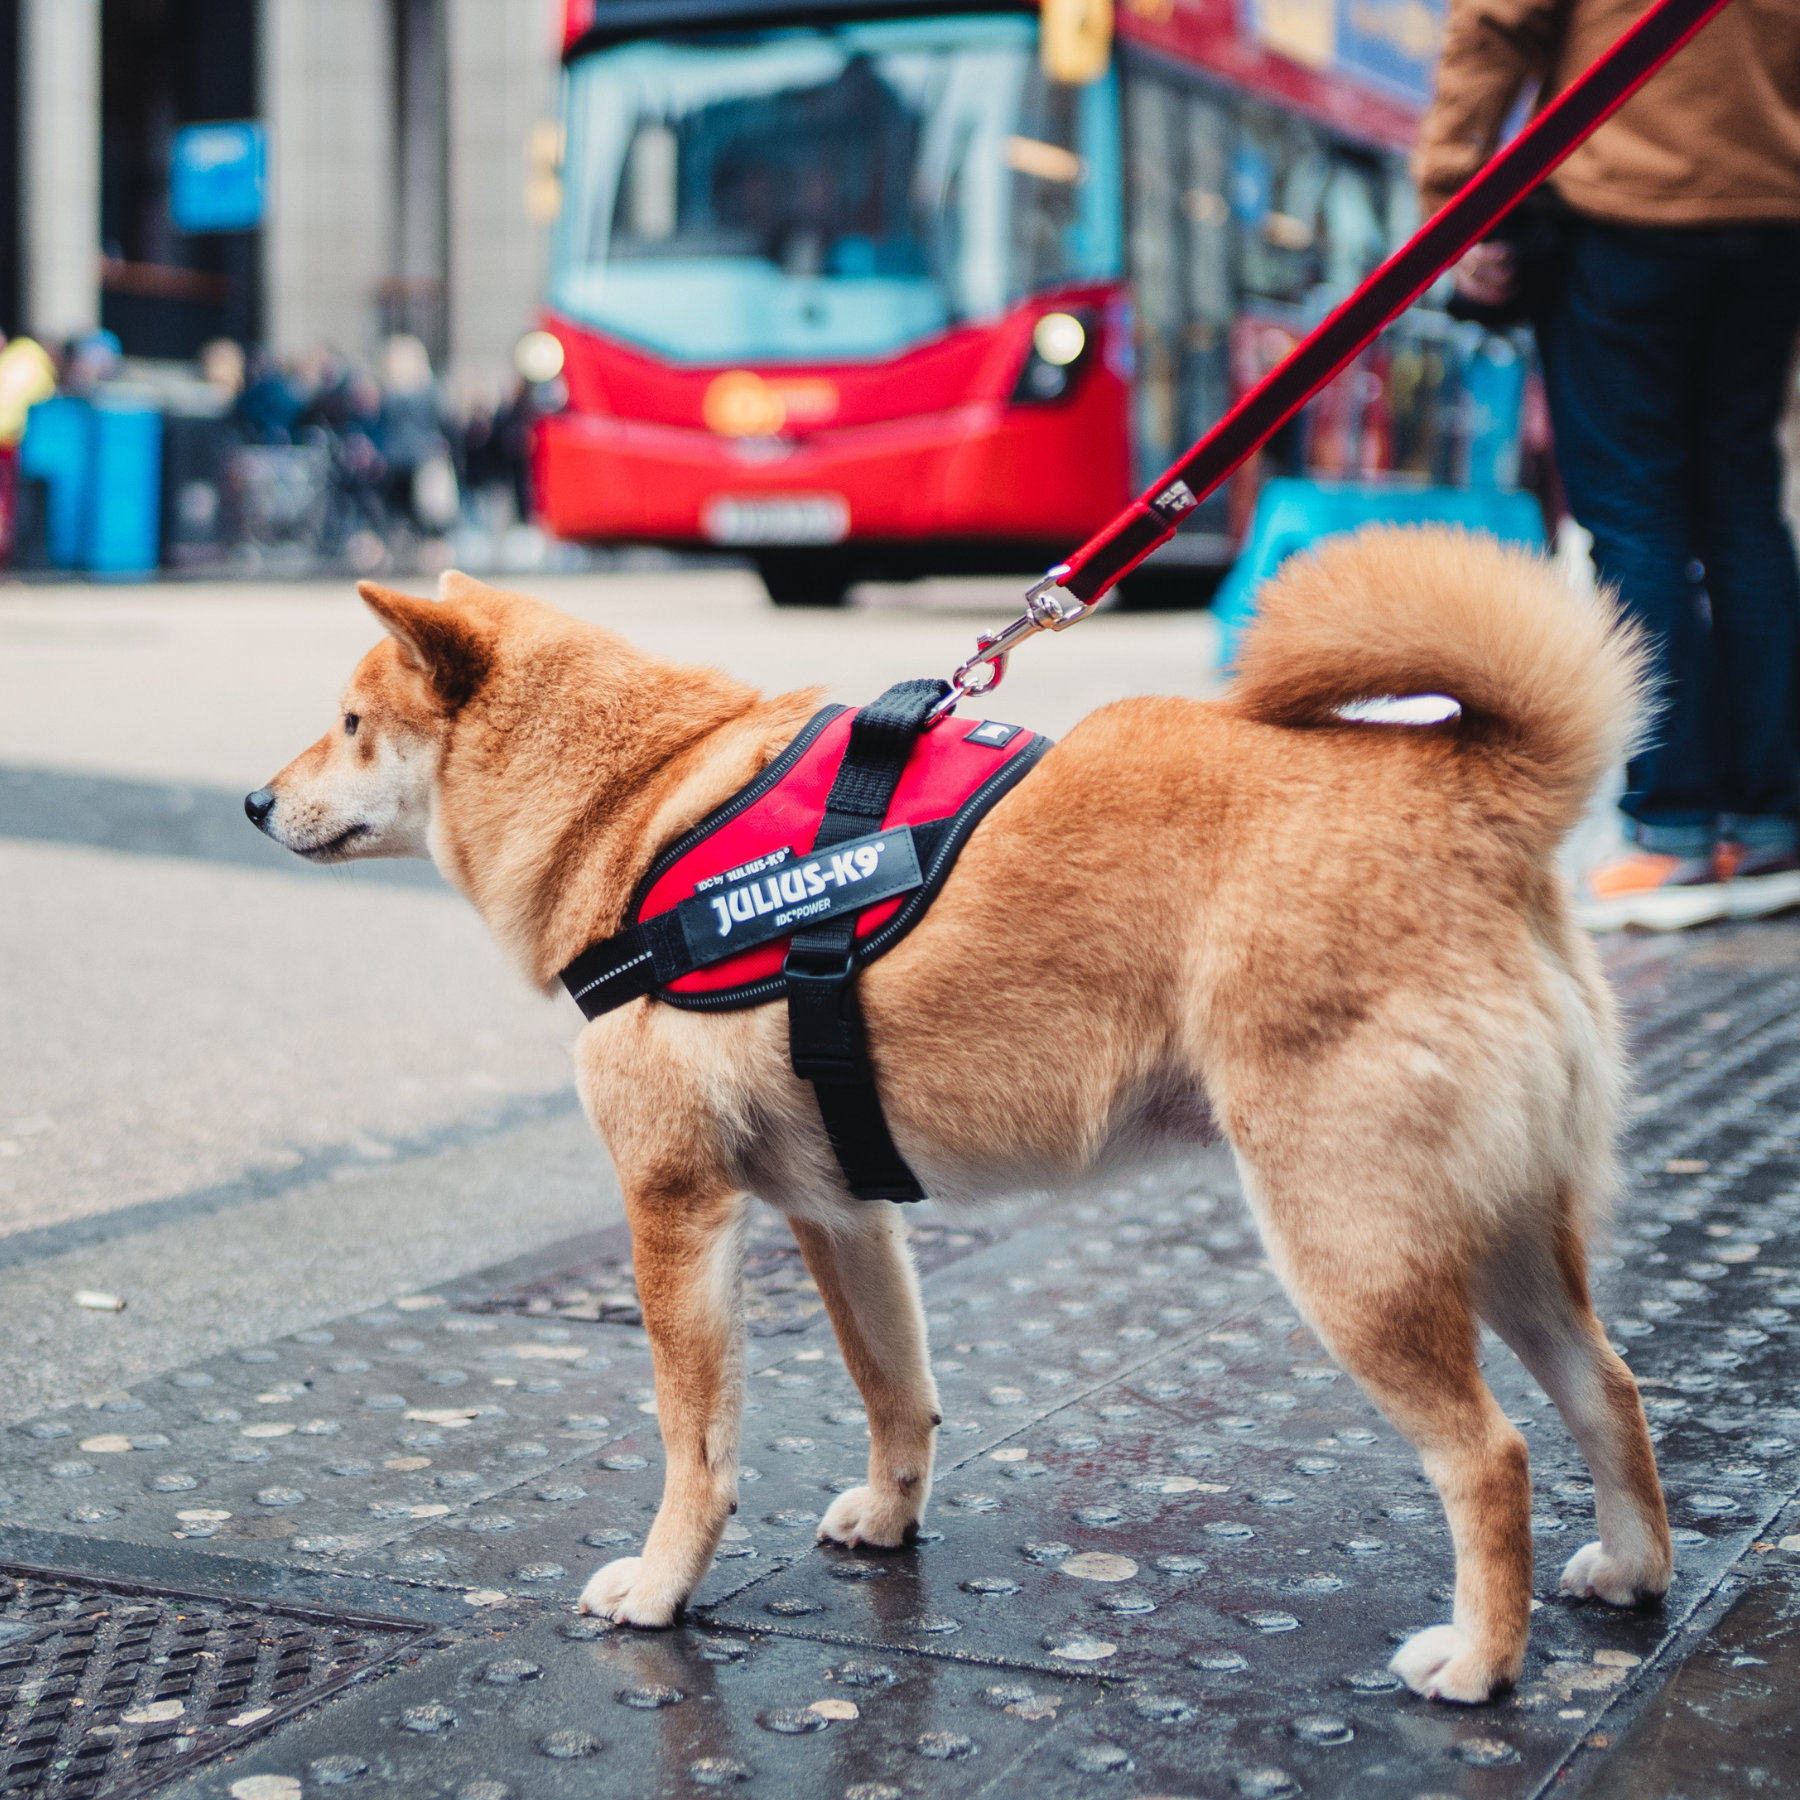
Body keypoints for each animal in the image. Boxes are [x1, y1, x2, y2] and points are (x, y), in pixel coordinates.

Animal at [246, 529, 1663, 1699]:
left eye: (352, 722)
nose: (254, 802)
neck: (637, 800)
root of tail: (1478, 803)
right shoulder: (843, 1210)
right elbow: (896, 1387)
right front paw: (890, 1519)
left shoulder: (674, 1207)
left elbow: (694, 1443)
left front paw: (660, 1588)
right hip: (1504, 1236)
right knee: (1609, 1389)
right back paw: (1631, 1569)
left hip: (1353, 1249)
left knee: (1491, 1458)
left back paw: (1479, 1661)